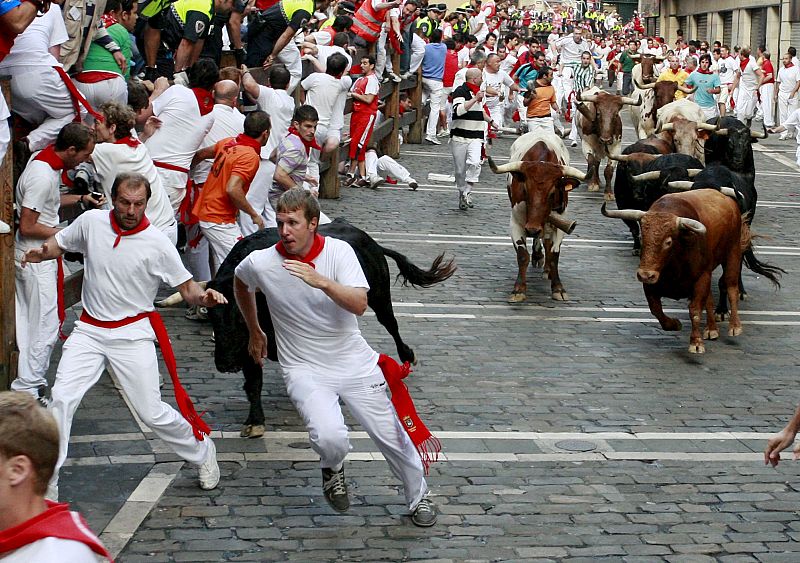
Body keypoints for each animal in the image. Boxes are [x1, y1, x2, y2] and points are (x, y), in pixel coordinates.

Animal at [206, 219, 456, 436]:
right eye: (211, 316)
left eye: (240, 318)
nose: (225, 364)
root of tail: (369, 241)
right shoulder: (253, 344)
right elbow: (253, 382)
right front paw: (254, 422)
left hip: (380, 296)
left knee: (391, 325)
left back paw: (407, 356)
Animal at [488, 132, 580, 302]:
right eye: (525, 189)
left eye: (552, 193)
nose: (532, 229)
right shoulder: (516, 223)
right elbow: (522, 255)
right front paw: (518, 289)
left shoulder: (560, 223)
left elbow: (554, 255)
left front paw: (558, 288)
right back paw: (537, 256)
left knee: (546, 242)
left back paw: (547, 269)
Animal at [604, 192, 748, 354]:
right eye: (643, 238)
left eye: (668, 242)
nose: (645, 275)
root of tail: (729, 200)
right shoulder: (651, 283)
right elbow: (656, 310)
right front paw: (675, 324)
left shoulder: (701, 278)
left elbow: (695, 310)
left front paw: (696, 342)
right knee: (710, 299)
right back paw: (711, 329)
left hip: (732, 254)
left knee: (731, 287)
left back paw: (735, 326)